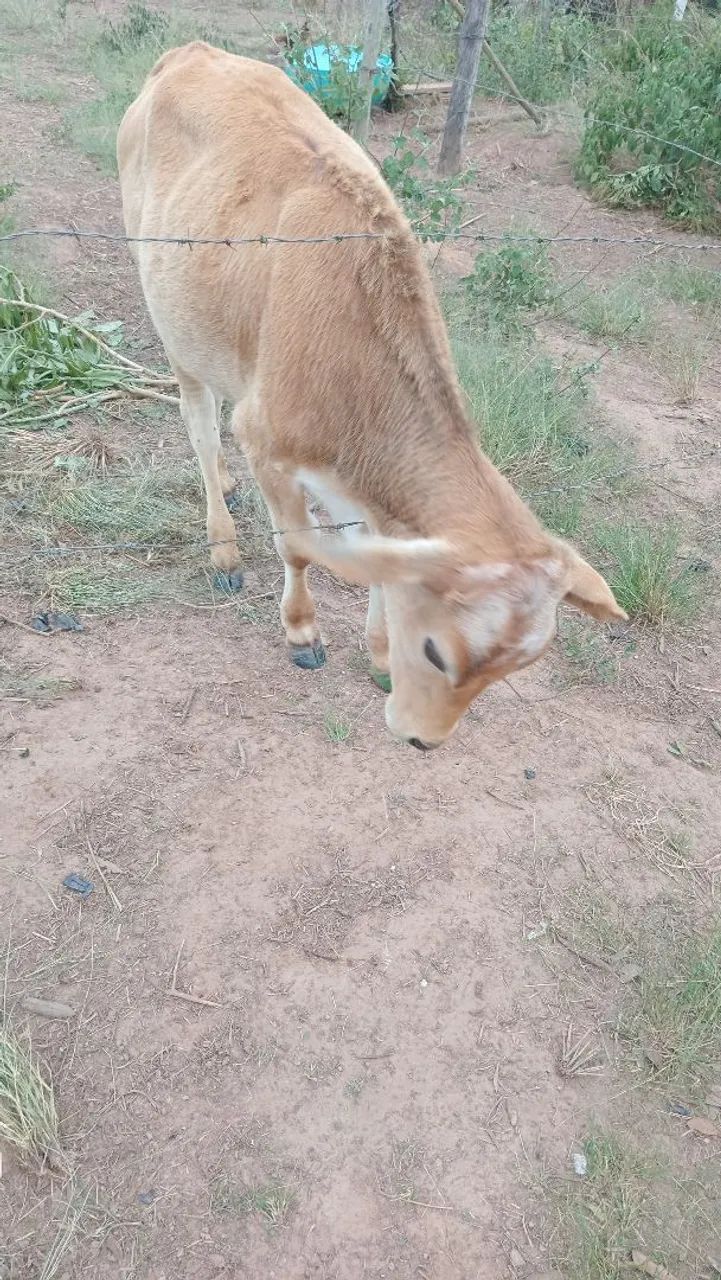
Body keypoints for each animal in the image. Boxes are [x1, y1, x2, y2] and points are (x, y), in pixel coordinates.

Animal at [117, 42, 625, 749]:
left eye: (515, 668)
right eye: (438, 652)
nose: (424, 741)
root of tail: (190, 52)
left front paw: (379, 652)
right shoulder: (267, 440)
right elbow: (296, 547)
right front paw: (303, 632)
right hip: (171, 318)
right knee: (199, 423)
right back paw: (222, 542)